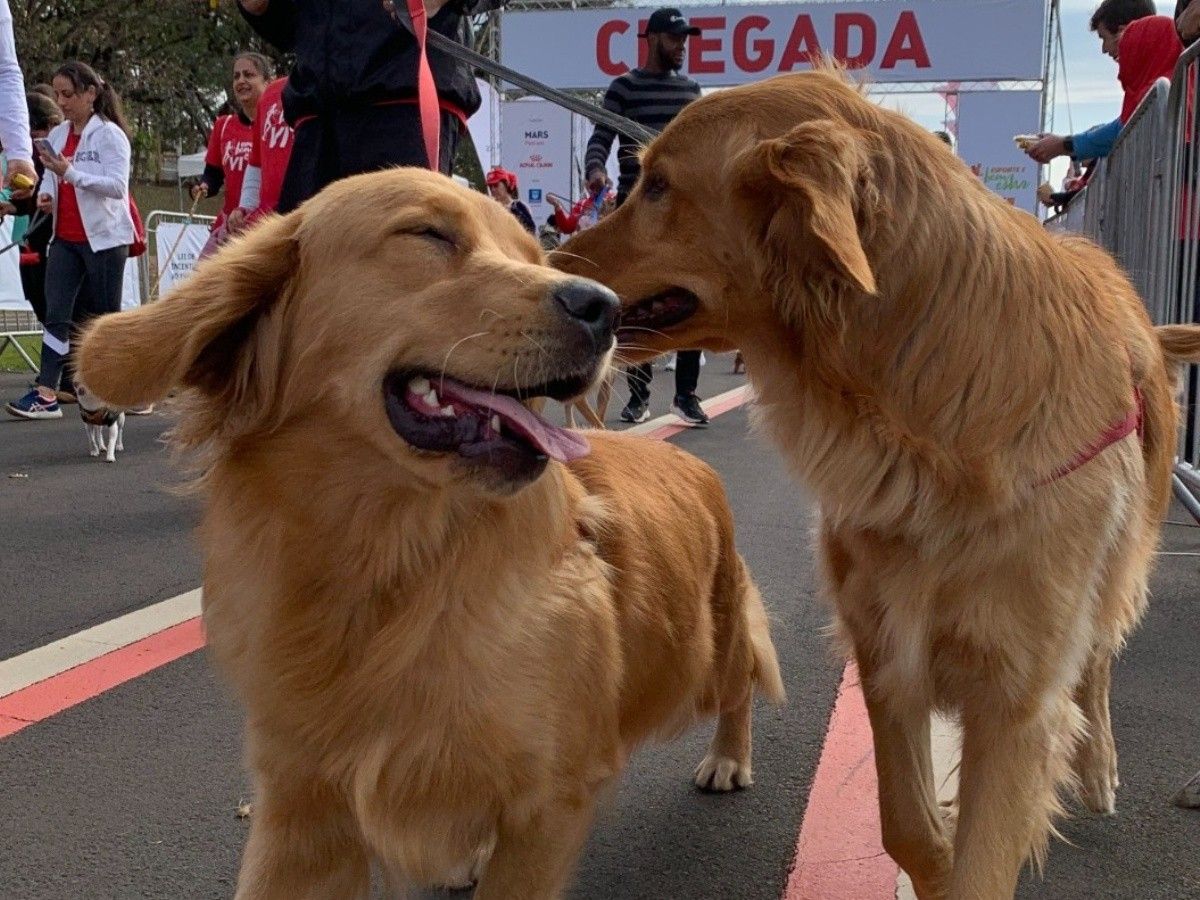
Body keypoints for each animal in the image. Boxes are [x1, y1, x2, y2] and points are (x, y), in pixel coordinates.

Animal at [77, 169, 787, 900]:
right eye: (428, 234)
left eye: (531, 254)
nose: (606, 308)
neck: (391, 562)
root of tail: (691, 463)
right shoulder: (302, 799)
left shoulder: (550, 799)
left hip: (708, 650)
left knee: (743, 682)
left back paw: (729, 757)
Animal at [554, 66, 1200, 897]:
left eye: (659, 185)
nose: (547, 265)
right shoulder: (888, 647)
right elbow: (910, 830)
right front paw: (939, 851)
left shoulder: (1014, 695)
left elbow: (986, 850)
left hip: (1114, 572)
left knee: (1096, 663)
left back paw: (1097, 769)